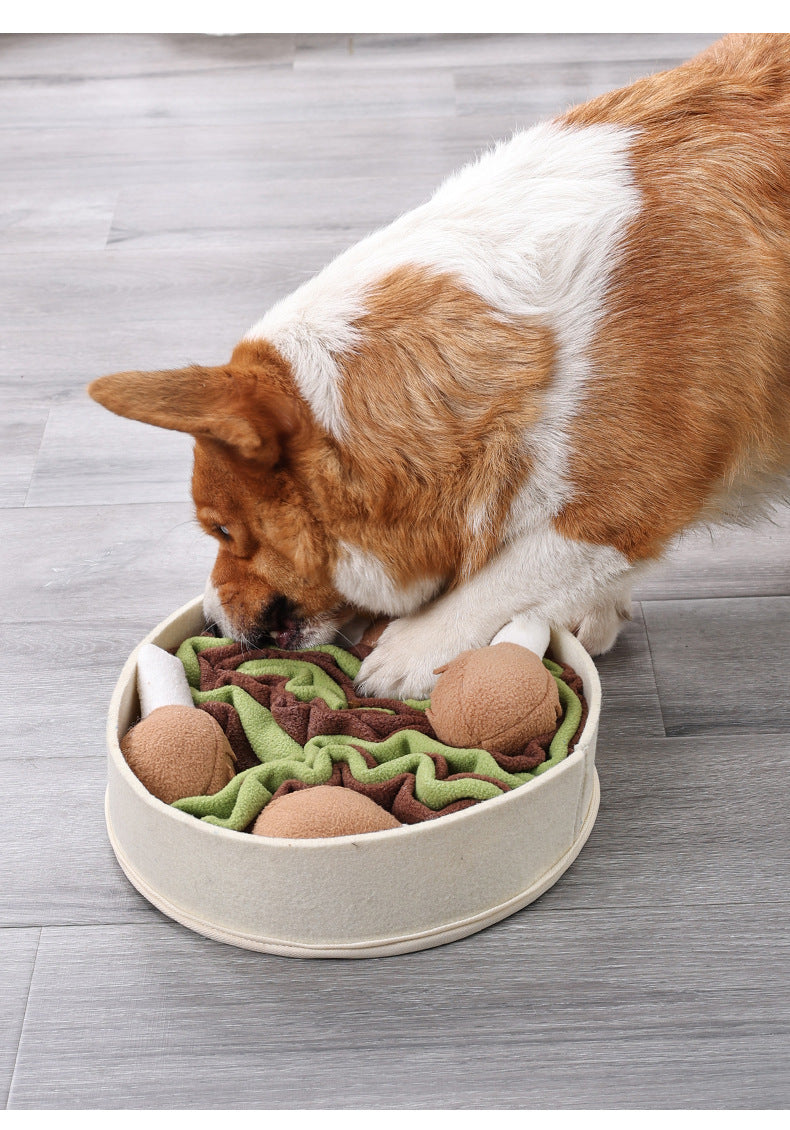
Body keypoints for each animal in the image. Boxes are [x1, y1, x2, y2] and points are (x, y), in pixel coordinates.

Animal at [89, 35, 790, 700]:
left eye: (223, 529)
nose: (209, 621)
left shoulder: (629, 500)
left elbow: (514, 570)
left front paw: (411, 650)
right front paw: (595, 612)